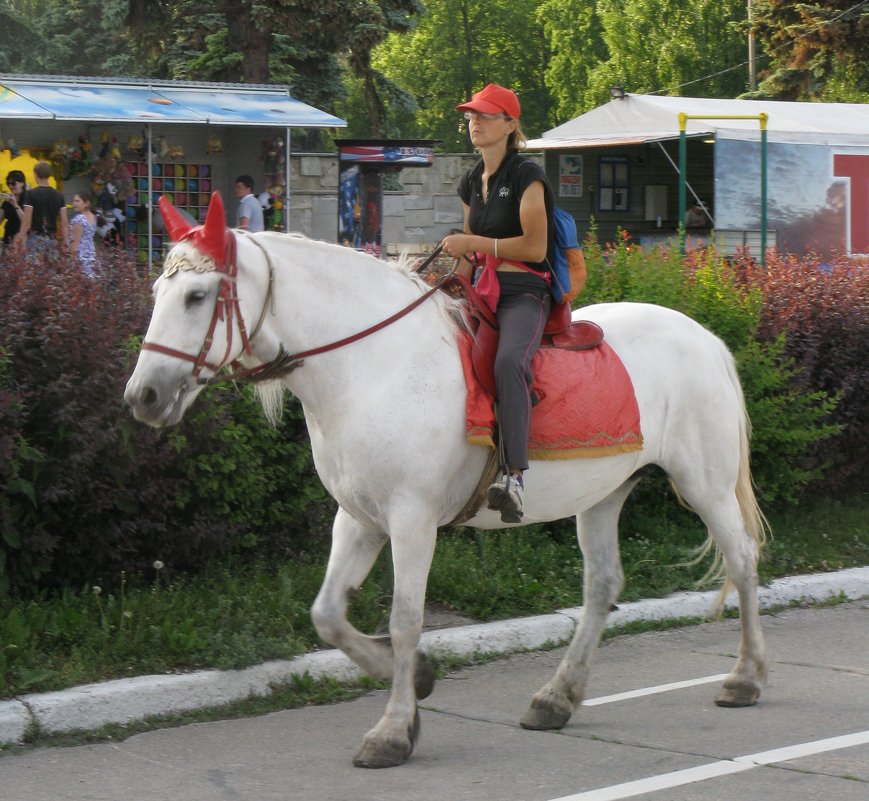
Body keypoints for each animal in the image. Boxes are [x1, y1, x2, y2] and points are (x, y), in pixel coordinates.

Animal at [125, 194, 764, 768]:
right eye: (158, 294)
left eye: (198, 296)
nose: (143, 396)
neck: (371, 366)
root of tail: (708, 338)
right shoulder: (359, 518)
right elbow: (327, 615)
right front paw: (417, 683)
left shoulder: (412, 520)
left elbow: (405, 620)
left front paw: (391, 731)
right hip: (605, 494)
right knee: (603, 585)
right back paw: (557, 698)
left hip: (703, 483)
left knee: (741, 559)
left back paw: (746, 678)